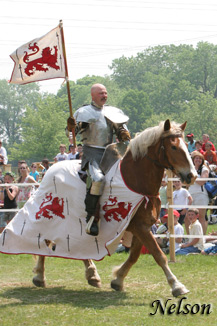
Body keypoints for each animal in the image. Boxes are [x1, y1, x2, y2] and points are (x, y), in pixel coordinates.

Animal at [0, 120, 197, 298]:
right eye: (173, 147)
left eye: (185, 146)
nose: (192, 176)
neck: (135, 179)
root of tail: (49, 170)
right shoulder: (139, 227)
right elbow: (158, 255)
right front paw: (177, 285)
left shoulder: (141, 226)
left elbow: (134, 256)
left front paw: (118, 280)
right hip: (50, 219)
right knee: (45, 241)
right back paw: (40, 275)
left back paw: (91, 274)